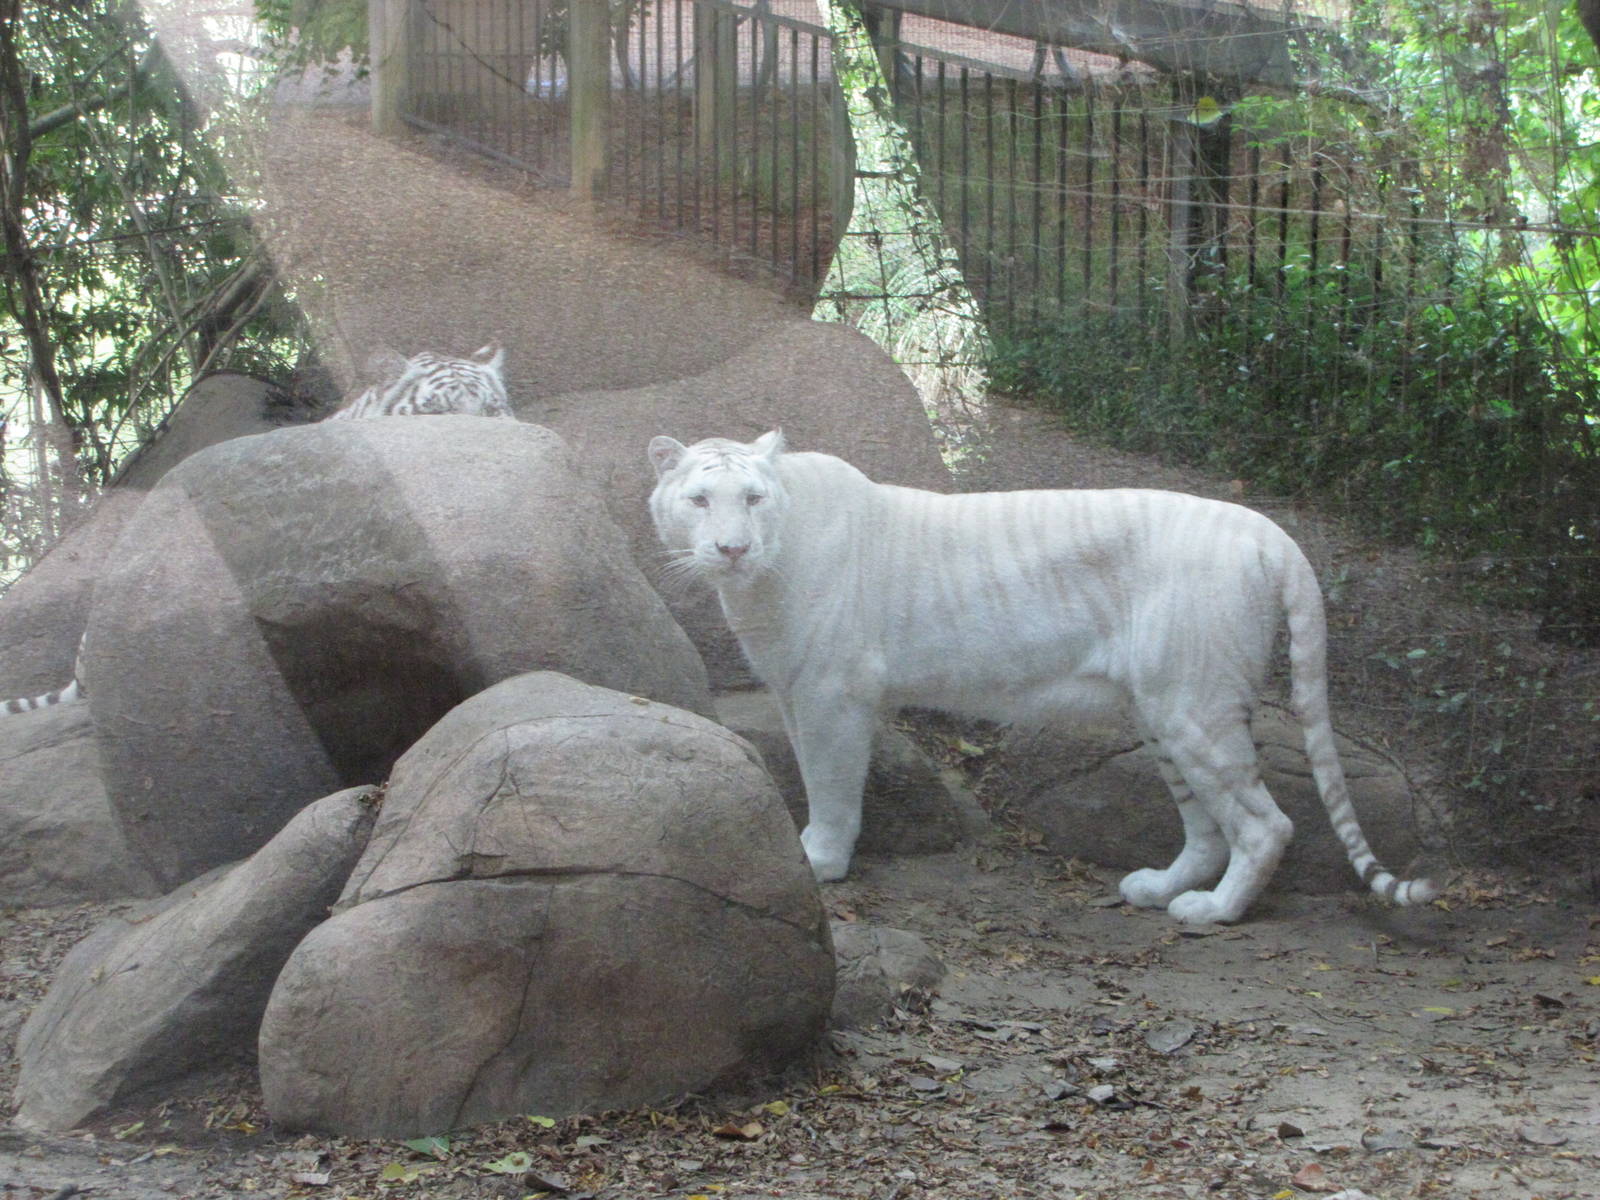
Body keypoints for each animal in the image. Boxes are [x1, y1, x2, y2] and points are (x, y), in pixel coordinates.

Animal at [647, 430, 1438, 925]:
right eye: (700, 501)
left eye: (752, 498)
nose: (732, 549)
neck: (756, 587)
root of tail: (1269, 531)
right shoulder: (792, 689)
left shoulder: (831, 693)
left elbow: (831, 783)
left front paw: (820, 860)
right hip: (1160, 712)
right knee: (1207, 826)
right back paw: (1159, 887)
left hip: (1194, 706)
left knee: (1265, 824)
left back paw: (1213, 911)